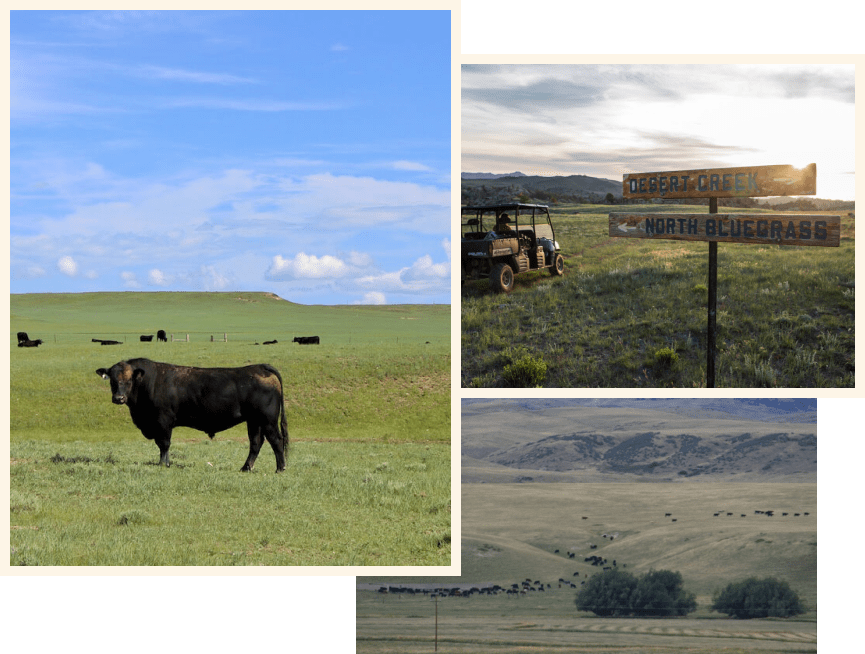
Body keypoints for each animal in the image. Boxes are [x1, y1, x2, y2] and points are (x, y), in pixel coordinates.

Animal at [96, 356, 288, 474]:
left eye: (129, 381)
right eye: (113, 381)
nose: (119, 398)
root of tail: (260, 367)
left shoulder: (163, 421)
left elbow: (164, 444)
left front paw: (164, 464)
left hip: (268, 420)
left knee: (276, 440)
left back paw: (280, 468)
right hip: (254, 421)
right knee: (256, 443)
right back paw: (246, 468)